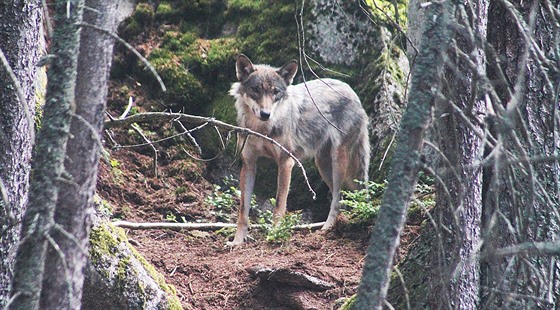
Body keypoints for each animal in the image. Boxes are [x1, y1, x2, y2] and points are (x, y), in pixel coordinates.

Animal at [225, 55, 370, 245]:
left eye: (275, 92)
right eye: (256, 89)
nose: (265, 114)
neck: (261, 129)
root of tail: (351, 90)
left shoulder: (286, 163)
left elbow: (279, 205)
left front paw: (274, 234)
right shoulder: (248, 165)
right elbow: (243, 210)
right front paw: (237, 241)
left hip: (339, 163)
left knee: (337, 198)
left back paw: (326, 228)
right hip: (323, 166)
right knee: (340, 198)